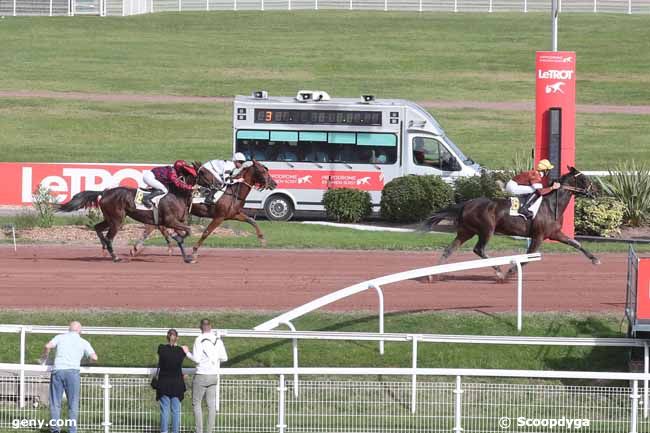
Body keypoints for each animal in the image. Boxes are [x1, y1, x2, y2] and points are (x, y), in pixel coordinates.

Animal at [58, 170, 197, 264]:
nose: (203, 189)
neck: (176, 195)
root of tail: (104, 192)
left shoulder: (175, 222)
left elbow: (182, 238)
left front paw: (187, 258)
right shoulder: (169, 220)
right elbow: (188, 231)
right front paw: (179, 241)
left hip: (110, 218)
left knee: (98, 227)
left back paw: (104, 248)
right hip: (117, 220)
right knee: (109, 237)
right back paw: (115, 257)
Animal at [130, 160, 274, 258]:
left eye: (267, 170)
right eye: (263, 171)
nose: (274, 183)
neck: (233, 192)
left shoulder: (234, 214)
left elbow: (252, 221)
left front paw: (262, 240)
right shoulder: (219, 217)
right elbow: (206, 232)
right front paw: (194, 251)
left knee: (154, 226)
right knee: (156, 226)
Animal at [426, 165, 596, 280]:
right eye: (584, 178)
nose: (595, 192)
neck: (551, 205)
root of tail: (467, 204)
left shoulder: (555, 233)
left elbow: (575, 243)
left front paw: (595, 259)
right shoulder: (538, 236)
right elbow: (528, 257)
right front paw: (510, 272)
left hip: (466, 231)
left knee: (449, 249)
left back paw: (432, 274)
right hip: (486, 230)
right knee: (479, 249)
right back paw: (499, 271)